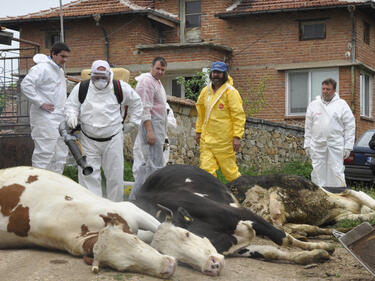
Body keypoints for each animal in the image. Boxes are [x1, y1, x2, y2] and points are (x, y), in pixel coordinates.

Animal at [134, 163, 334, 264]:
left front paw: (319, 247)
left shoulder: (241, 212)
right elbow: (270, 252)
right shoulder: (238, 246)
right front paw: (314, 255)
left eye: (186, 235)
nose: (211, 262)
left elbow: (283, 238)